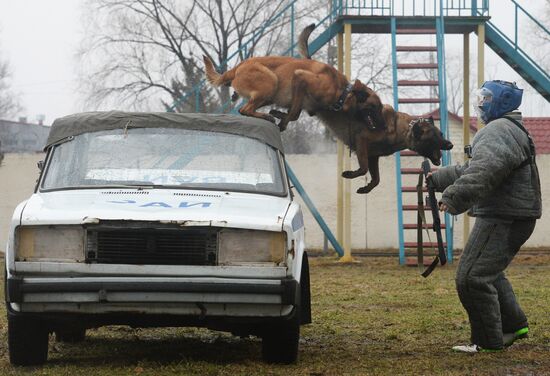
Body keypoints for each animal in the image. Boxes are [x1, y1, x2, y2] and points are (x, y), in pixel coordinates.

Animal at [204, 54, 388, 132]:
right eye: (376, 107)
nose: (385, 127)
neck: (342, 92)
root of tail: (239, 66)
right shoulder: (300, 78)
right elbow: (293, 114)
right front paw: (282, 121)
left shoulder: (301, 100)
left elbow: (295, 113)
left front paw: (280, 115)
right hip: (271, 82)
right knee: (245, 109)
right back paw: (266, 116)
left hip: (269, 95)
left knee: (245, 110)